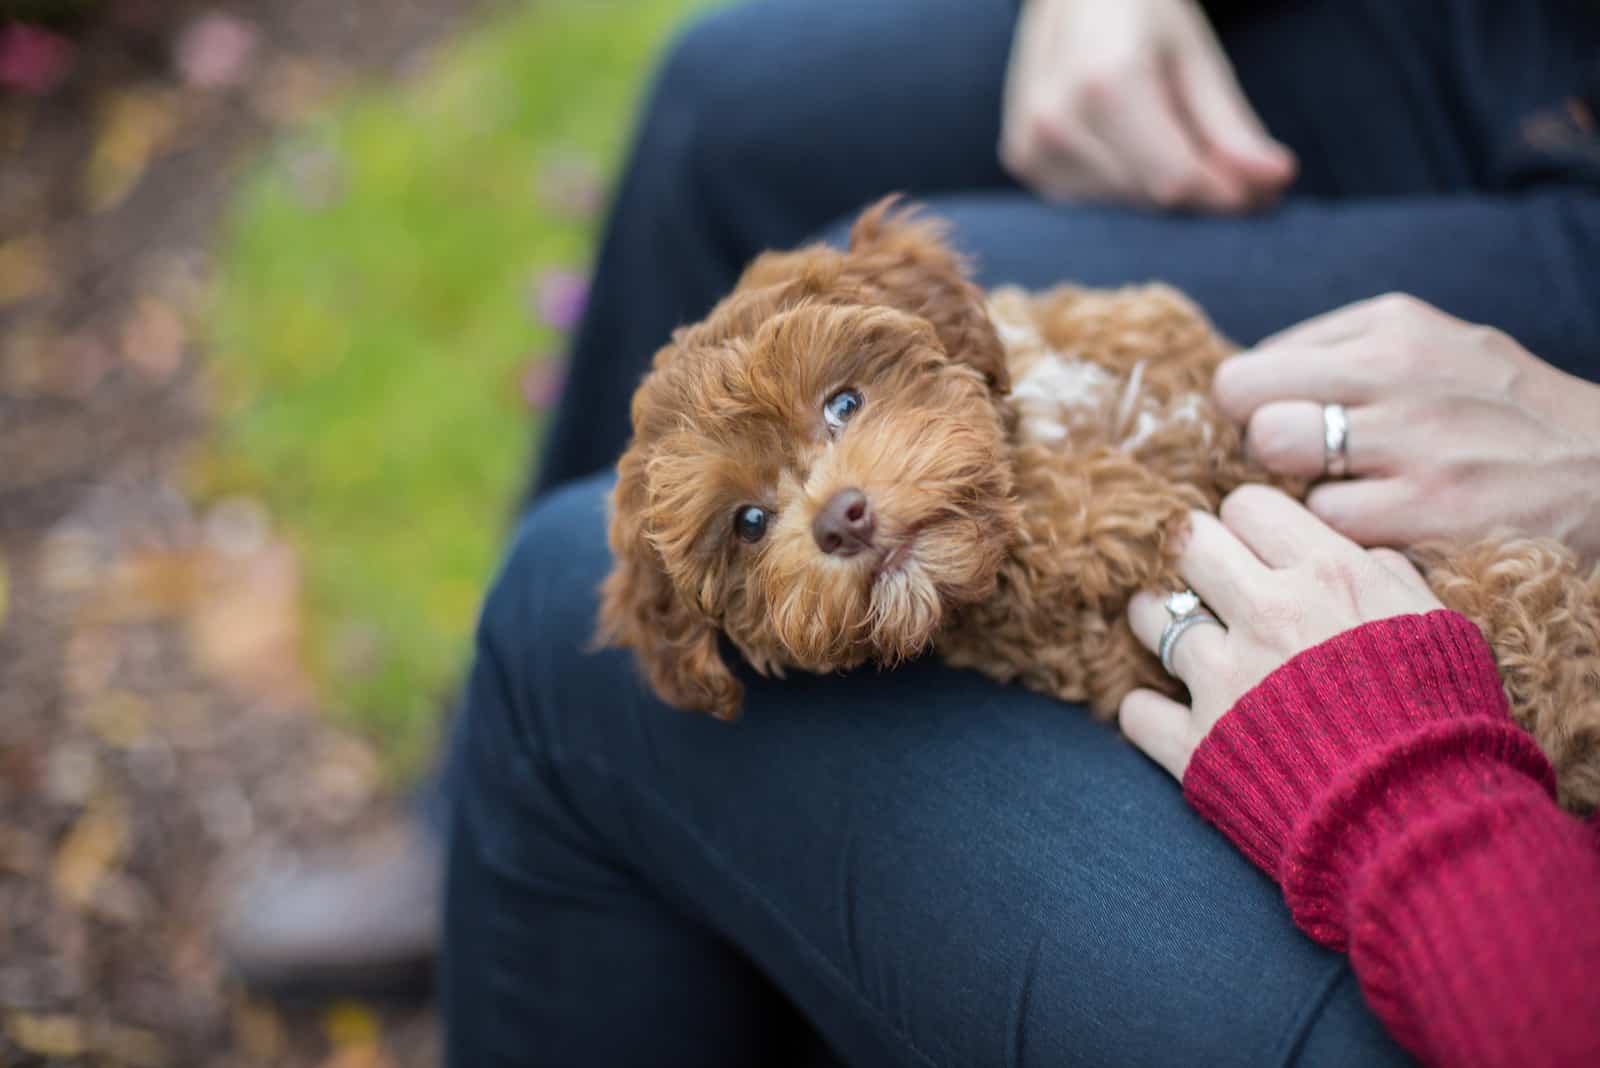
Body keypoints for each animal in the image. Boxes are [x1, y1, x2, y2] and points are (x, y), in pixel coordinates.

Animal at [601, 198, 1600, 808]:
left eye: (843, 403)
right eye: (748, 523)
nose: (841, 518)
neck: (1036, 457)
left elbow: (1520, 588)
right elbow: (1505, 598)